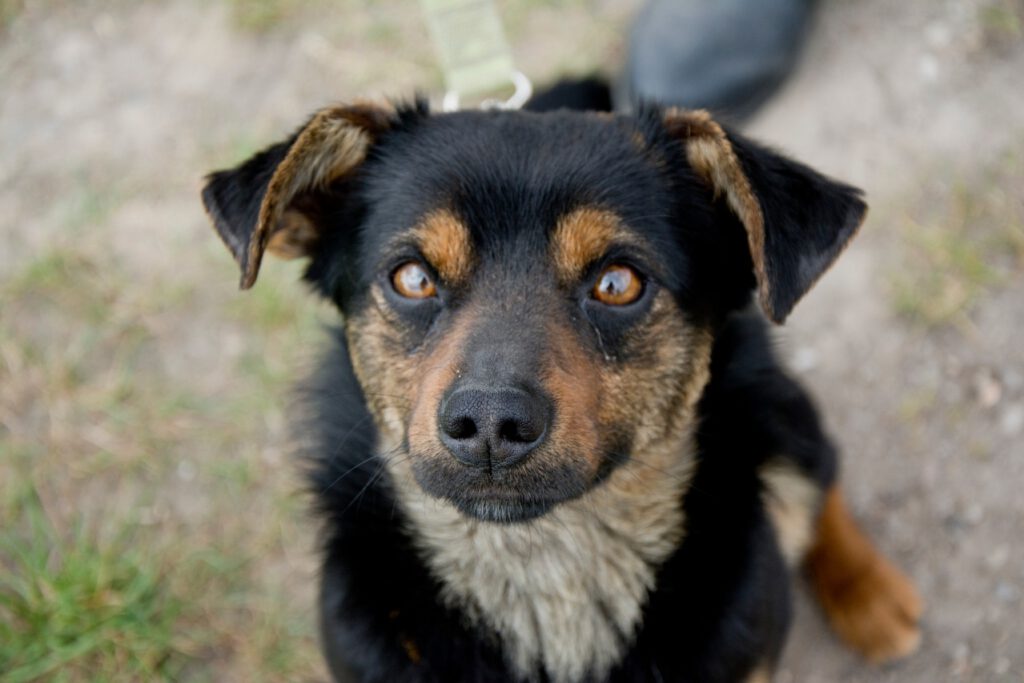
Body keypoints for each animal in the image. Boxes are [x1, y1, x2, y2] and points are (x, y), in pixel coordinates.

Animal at [203, 92, 925, 683]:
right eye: (412, 277)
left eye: (618, 282)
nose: (489, 423)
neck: (546, 574)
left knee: (821, 477)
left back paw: (870, 595)